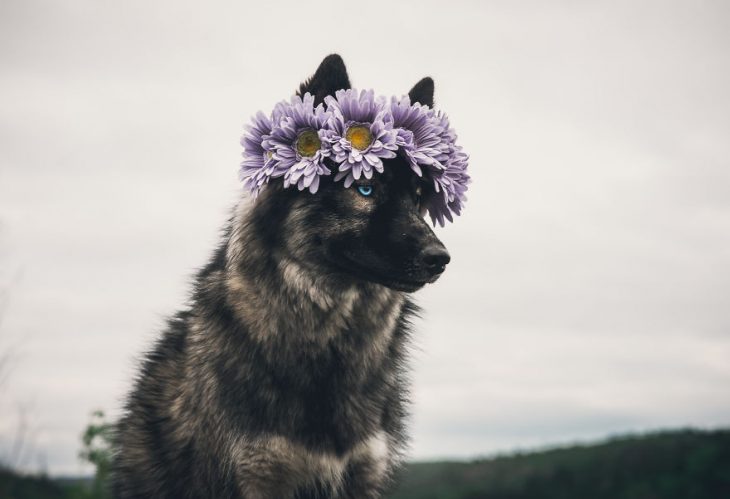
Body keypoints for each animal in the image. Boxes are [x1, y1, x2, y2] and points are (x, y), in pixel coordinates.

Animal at [111, 52, 452, 498]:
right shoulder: (256, 475)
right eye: (364, 189)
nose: (439, 258)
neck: (331, 346)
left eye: (417, 196)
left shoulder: (362, 473)